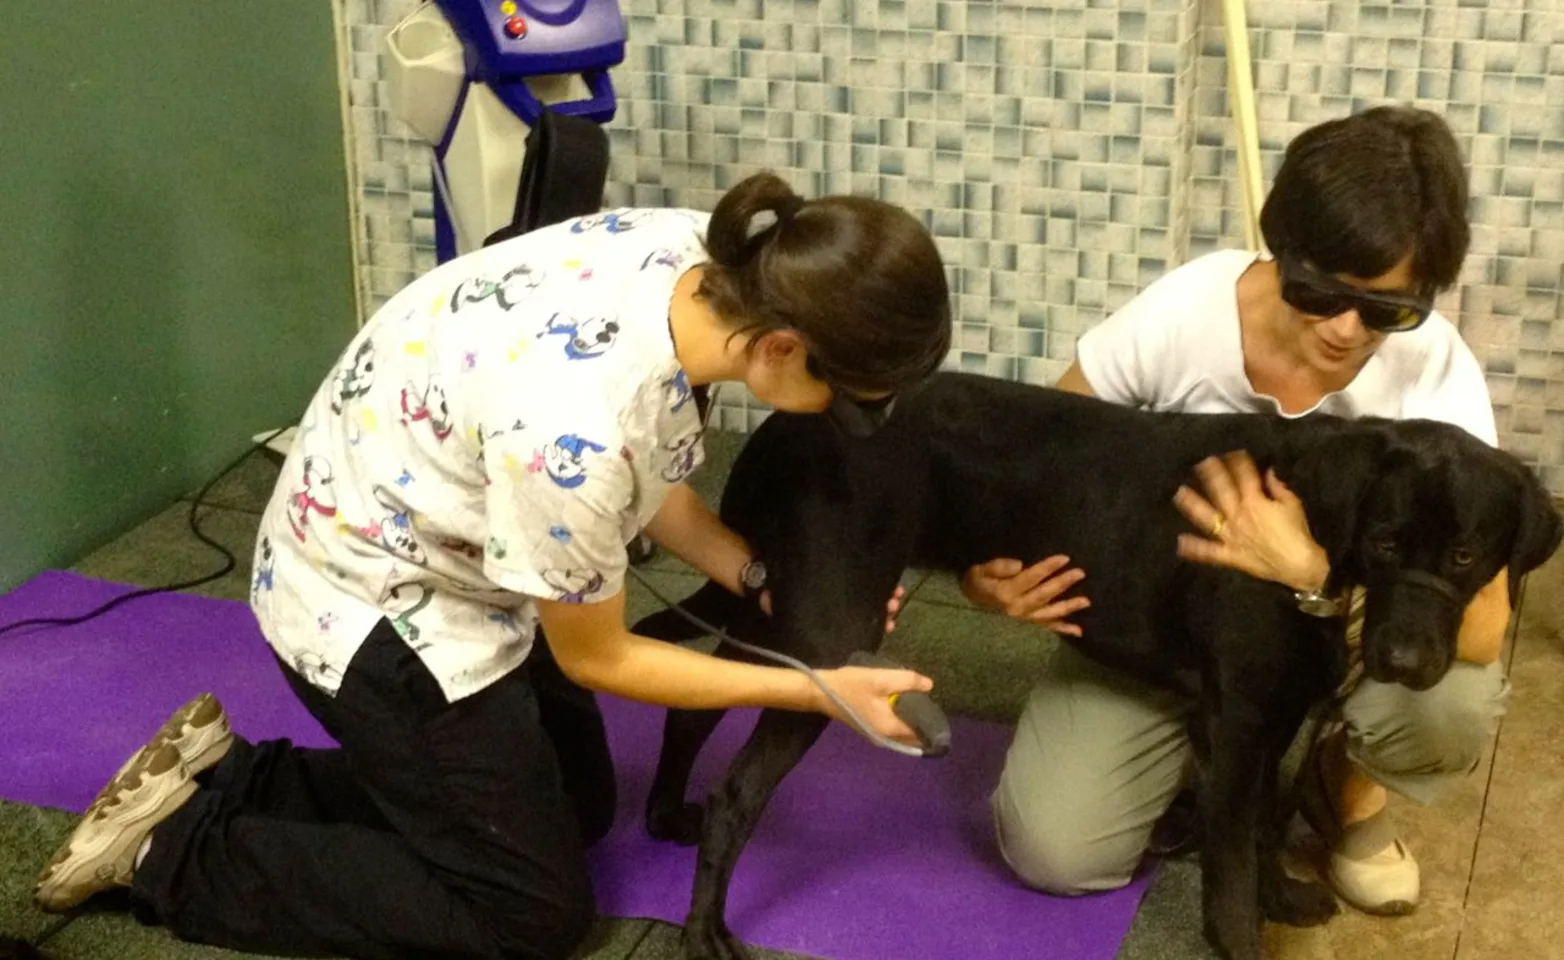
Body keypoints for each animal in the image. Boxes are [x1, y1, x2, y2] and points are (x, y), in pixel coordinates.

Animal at [628, 372, 1557, 960]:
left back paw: (668, 813)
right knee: (739, 791)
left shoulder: (1264, 722)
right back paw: (703, 931)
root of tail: (776, 427)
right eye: (1389, 542)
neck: (1314, 524)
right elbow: (1231, 873)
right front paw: (1246, 931)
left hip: (774, 615)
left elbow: (1262, 829)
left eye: (1468, 554)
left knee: (692, 702)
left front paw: (1285, 896)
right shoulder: (1242, 725)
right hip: (829, 638)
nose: (1403, 659)